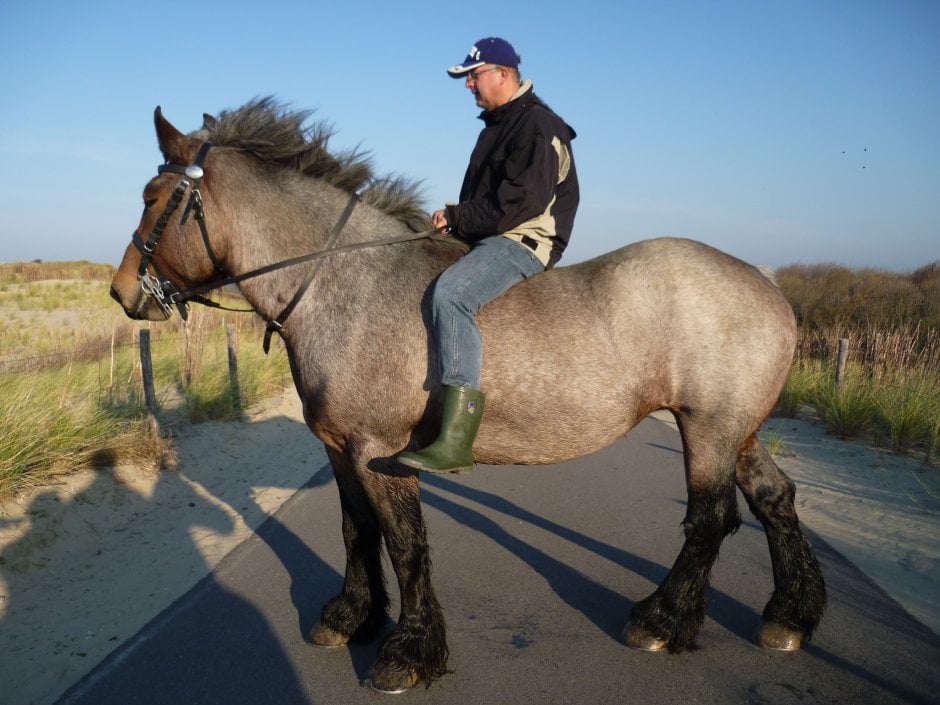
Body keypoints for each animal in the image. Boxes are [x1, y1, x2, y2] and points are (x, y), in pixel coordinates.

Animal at [110, 96, 828, 692]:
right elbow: (356, 529)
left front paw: (409, 652)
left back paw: (661, 620)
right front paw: (351, 616)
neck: (344, 280)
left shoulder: (378, 450)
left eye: (151, 196)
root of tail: (765, 281)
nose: (122, 293)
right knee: (773, 499)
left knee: (711, 517)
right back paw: (790, 616)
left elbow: (405, 543)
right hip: (736, 429)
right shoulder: (339, 447)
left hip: (707, 427)